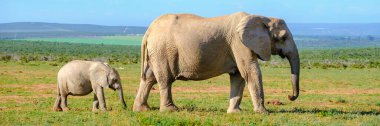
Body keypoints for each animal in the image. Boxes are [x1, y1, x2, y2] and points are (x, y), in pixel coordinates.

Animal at [134, 12, 300, 113]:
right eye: (283, 37)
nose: (290, 97)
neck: (262, 17)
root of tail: (148, 31)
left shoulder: (238, 46)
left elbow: (238, 76)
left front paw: (235, 113)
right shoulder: (239, 44)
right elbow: (251, 72)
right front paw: (263, 113)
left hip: (156, 51)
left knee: (149, 77)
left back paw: (142, 109)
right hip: (163, 50)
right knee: (165, 79)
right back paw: (171, 110)